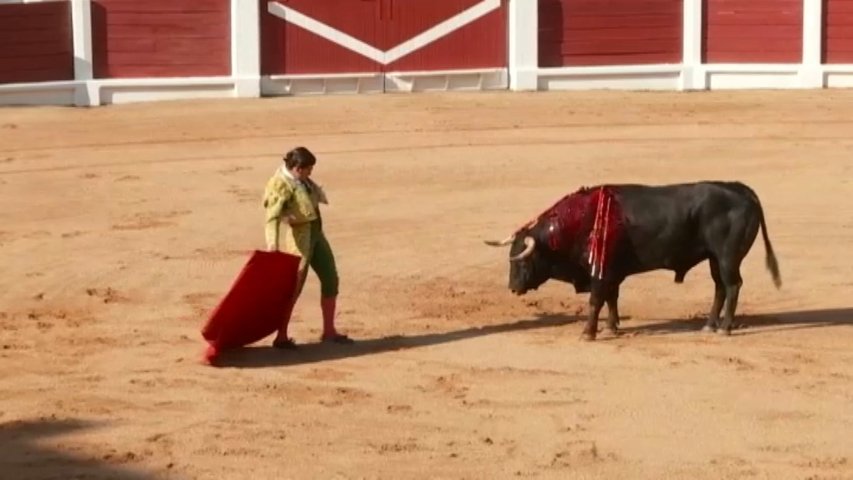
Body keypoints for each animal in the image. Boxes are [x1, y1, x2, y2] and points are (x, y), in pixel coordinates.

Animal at [486, 181, 780, 342]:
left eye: (522, 261)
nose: (513, 288)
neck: (578, 223)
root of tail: (742, 190)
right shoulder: (611, 271)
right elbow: (612, 298)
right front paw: (611, 328)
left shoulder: (600, 273)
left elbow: (596, 300)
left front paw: (589, 332)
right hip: (714, 258)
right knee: (720, 287)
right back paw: (709, 326)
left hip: (727, 256)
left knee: (732, 286)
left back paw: (725, 329)